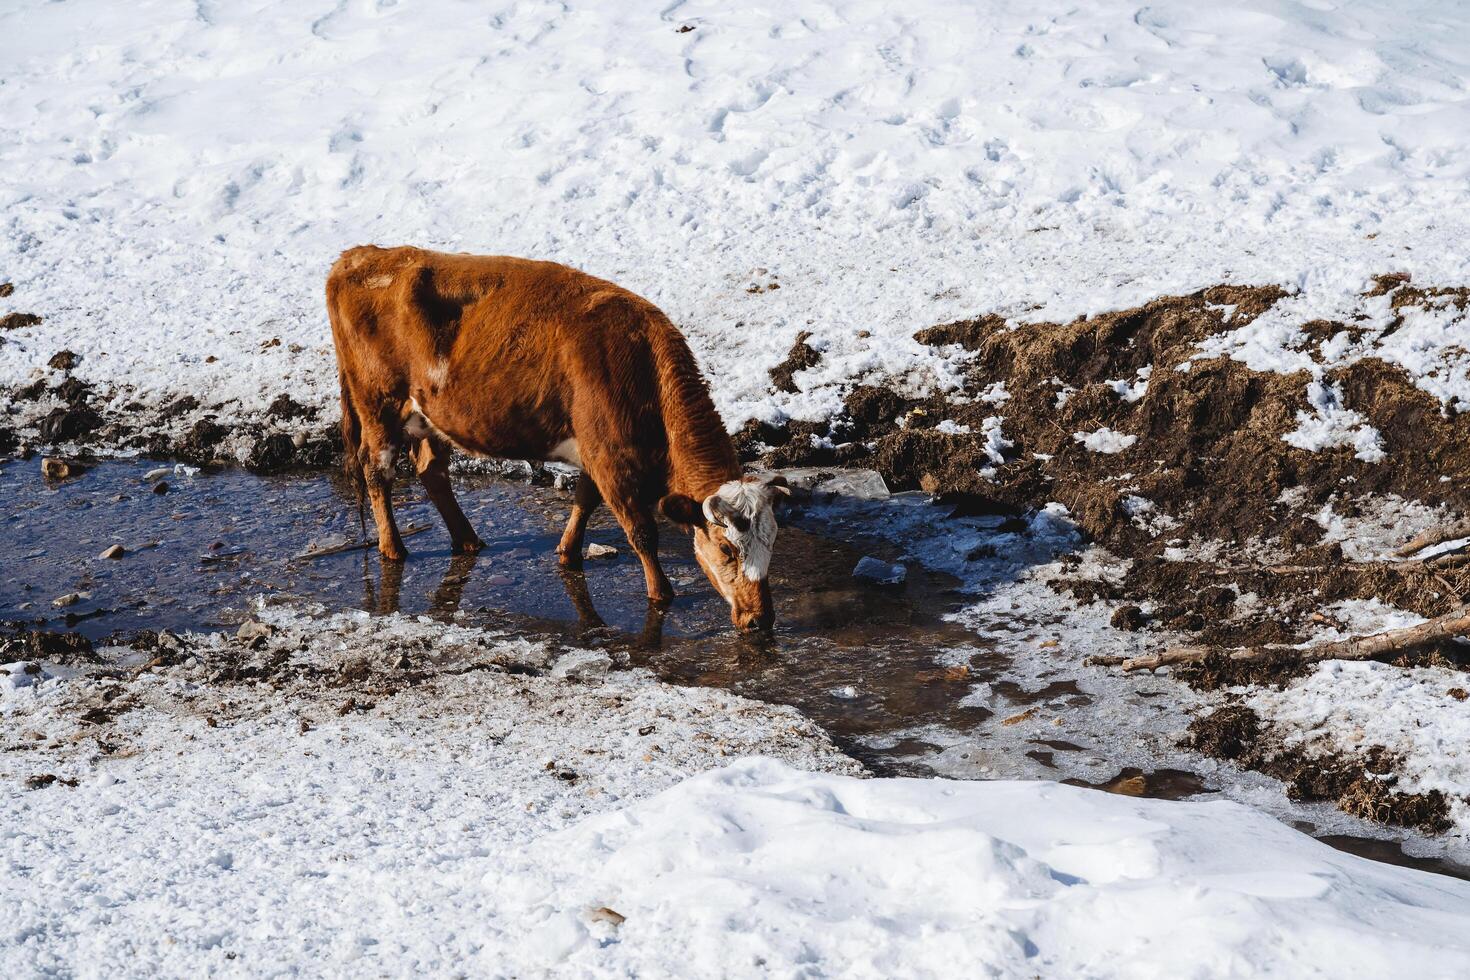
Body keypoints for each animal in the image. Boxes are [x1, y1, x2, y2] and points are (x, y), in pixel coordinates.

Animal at [330, 243, 793, 628]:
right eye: (728, 550)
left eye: (772, 543)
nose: (760, 619)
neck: (640, 366)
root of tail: (360, 256)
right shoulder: (611, 460)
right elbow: (642, 531)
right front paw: (661, 594)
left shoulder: (595, 451)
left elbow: (584, 500)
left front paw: (568, 553)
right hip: (378, 404)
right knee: (377, 472)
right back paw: (395, 548)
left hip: (427, 415)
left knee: (431, 470)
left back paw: (468, 540)